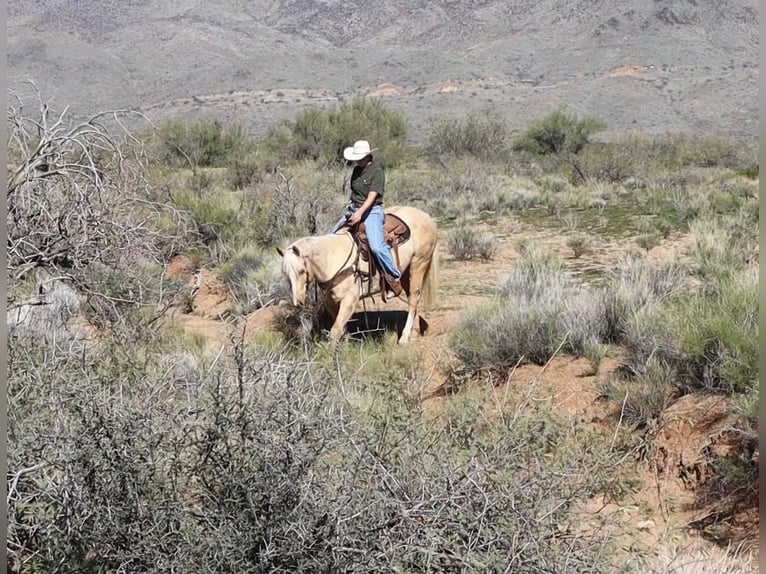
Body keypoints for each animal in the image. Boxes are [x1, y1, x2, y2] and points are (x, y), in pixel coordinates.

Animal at [276, 205, 439, 344]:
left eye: (301, 271)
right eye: (286, 274)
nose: (298, 302)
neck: (332, 259)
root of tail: (426, 217)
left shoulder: (350, 300)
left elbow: (335, 331)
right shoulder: (331, 301)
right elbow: (342, 329)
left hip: (419, 264)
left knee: (414, 298)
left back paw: (404, 338)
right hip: (406, 272)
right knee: (413, 298)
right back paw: (415, 332)